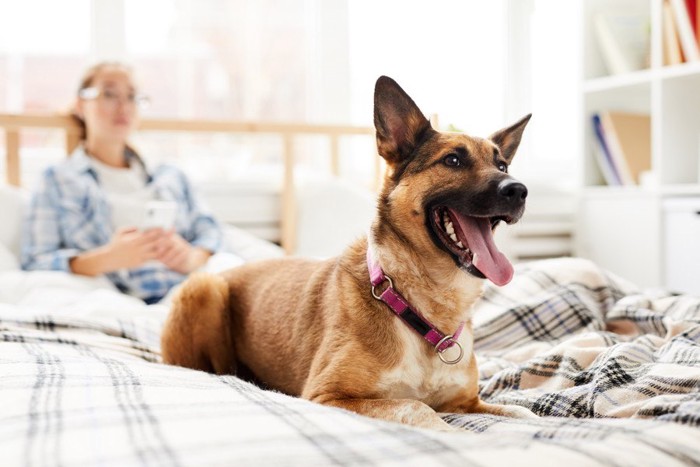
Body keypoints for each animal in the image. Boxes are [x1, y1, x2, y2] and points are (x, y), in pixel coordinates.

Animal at [163, 77, 536, 432]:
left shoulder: (467, 402)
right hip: (204, 288)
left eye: (503, 165)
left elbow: (521, 411)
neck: (421, 310)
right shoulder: (327, 396)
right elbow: (417, 407)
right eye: (453, 160)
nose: (519, 190)